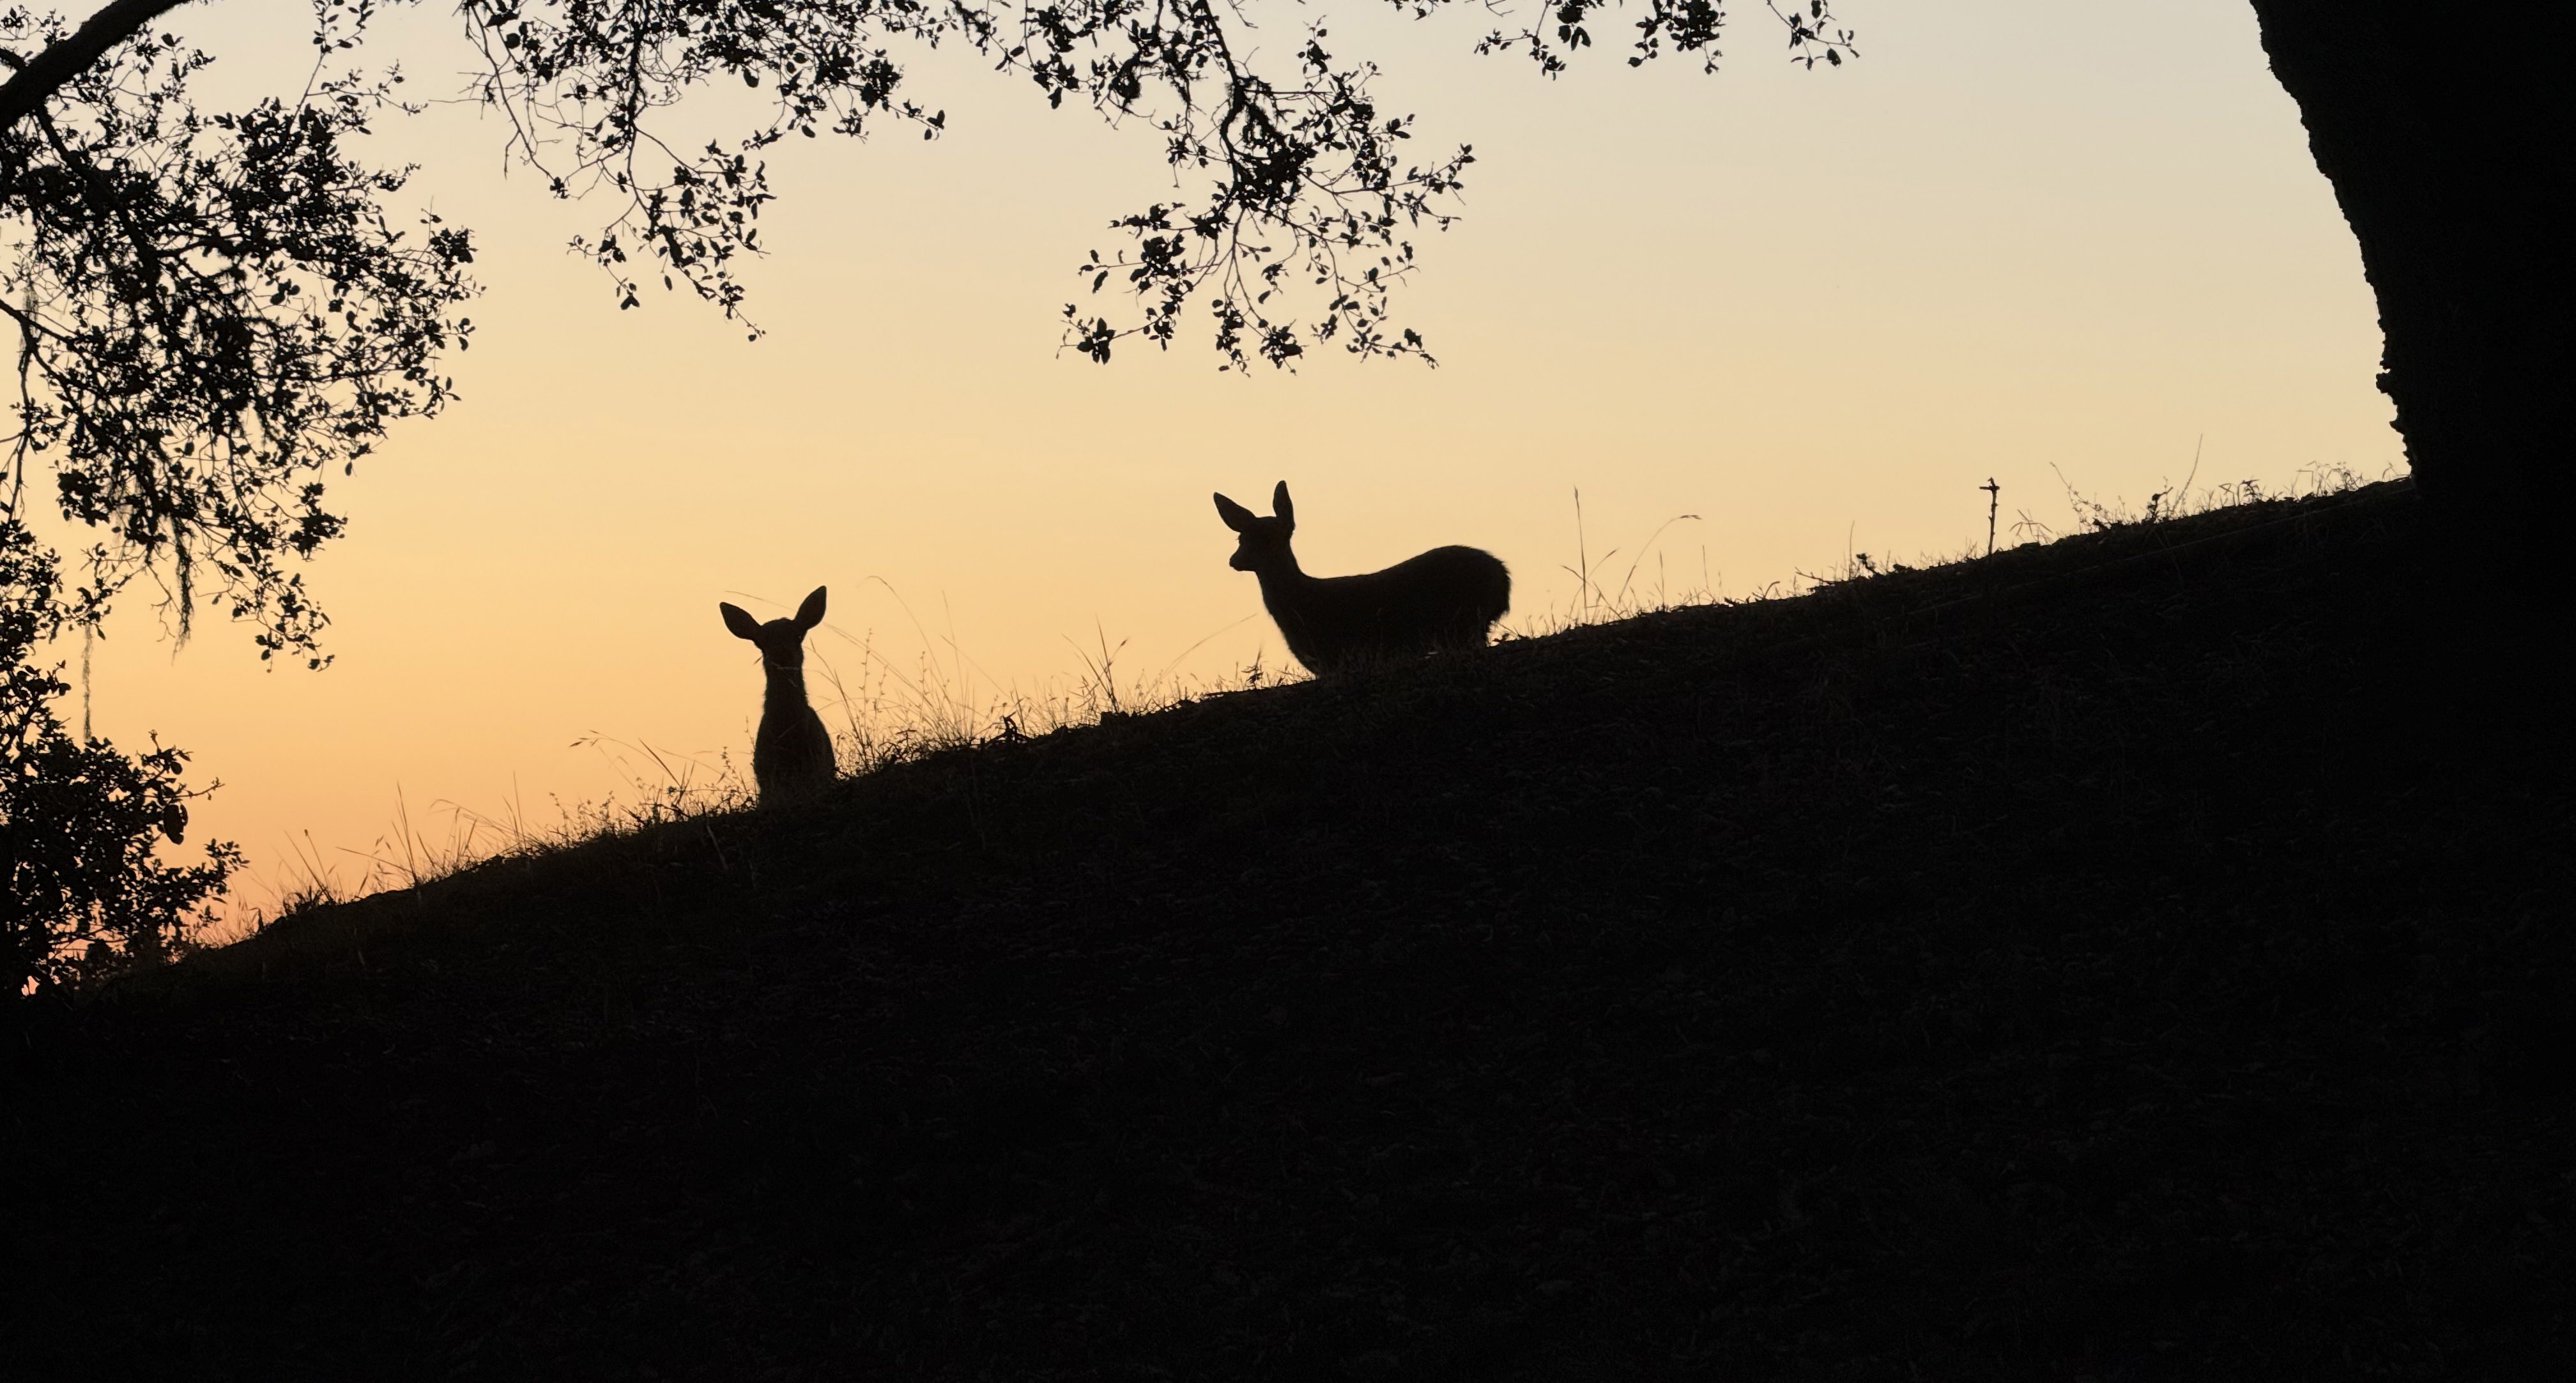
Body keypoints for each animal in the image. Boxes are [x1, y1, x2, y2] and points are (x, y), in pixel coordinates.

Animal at [1213, 481, 1510, 678]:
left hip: (1464, 622)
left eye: (1263, 538)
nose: (1234, 561)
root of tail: (1503, 579)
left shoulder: (1333, 656)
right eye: (1242, 538)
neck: (1302, 601)